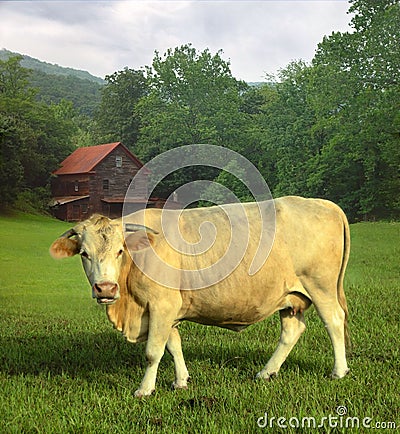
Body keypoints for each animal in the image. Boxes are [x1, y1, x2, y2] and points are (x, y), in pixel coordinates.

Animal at [49, 197, 350, 396]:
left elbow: (153, 352)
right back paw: (267, 372)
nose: (105, 289)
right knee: (292, 331)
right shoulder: (167, 307)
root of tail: (324, 203)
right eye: (84, 253)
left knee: (334, 322)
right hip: (289, 297)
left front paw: (145, 389)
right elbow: (173, 344)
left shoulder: (162, 304)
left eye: (120, 251)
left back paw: (339, 371)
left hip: (321, 287)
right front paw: (181, 380)